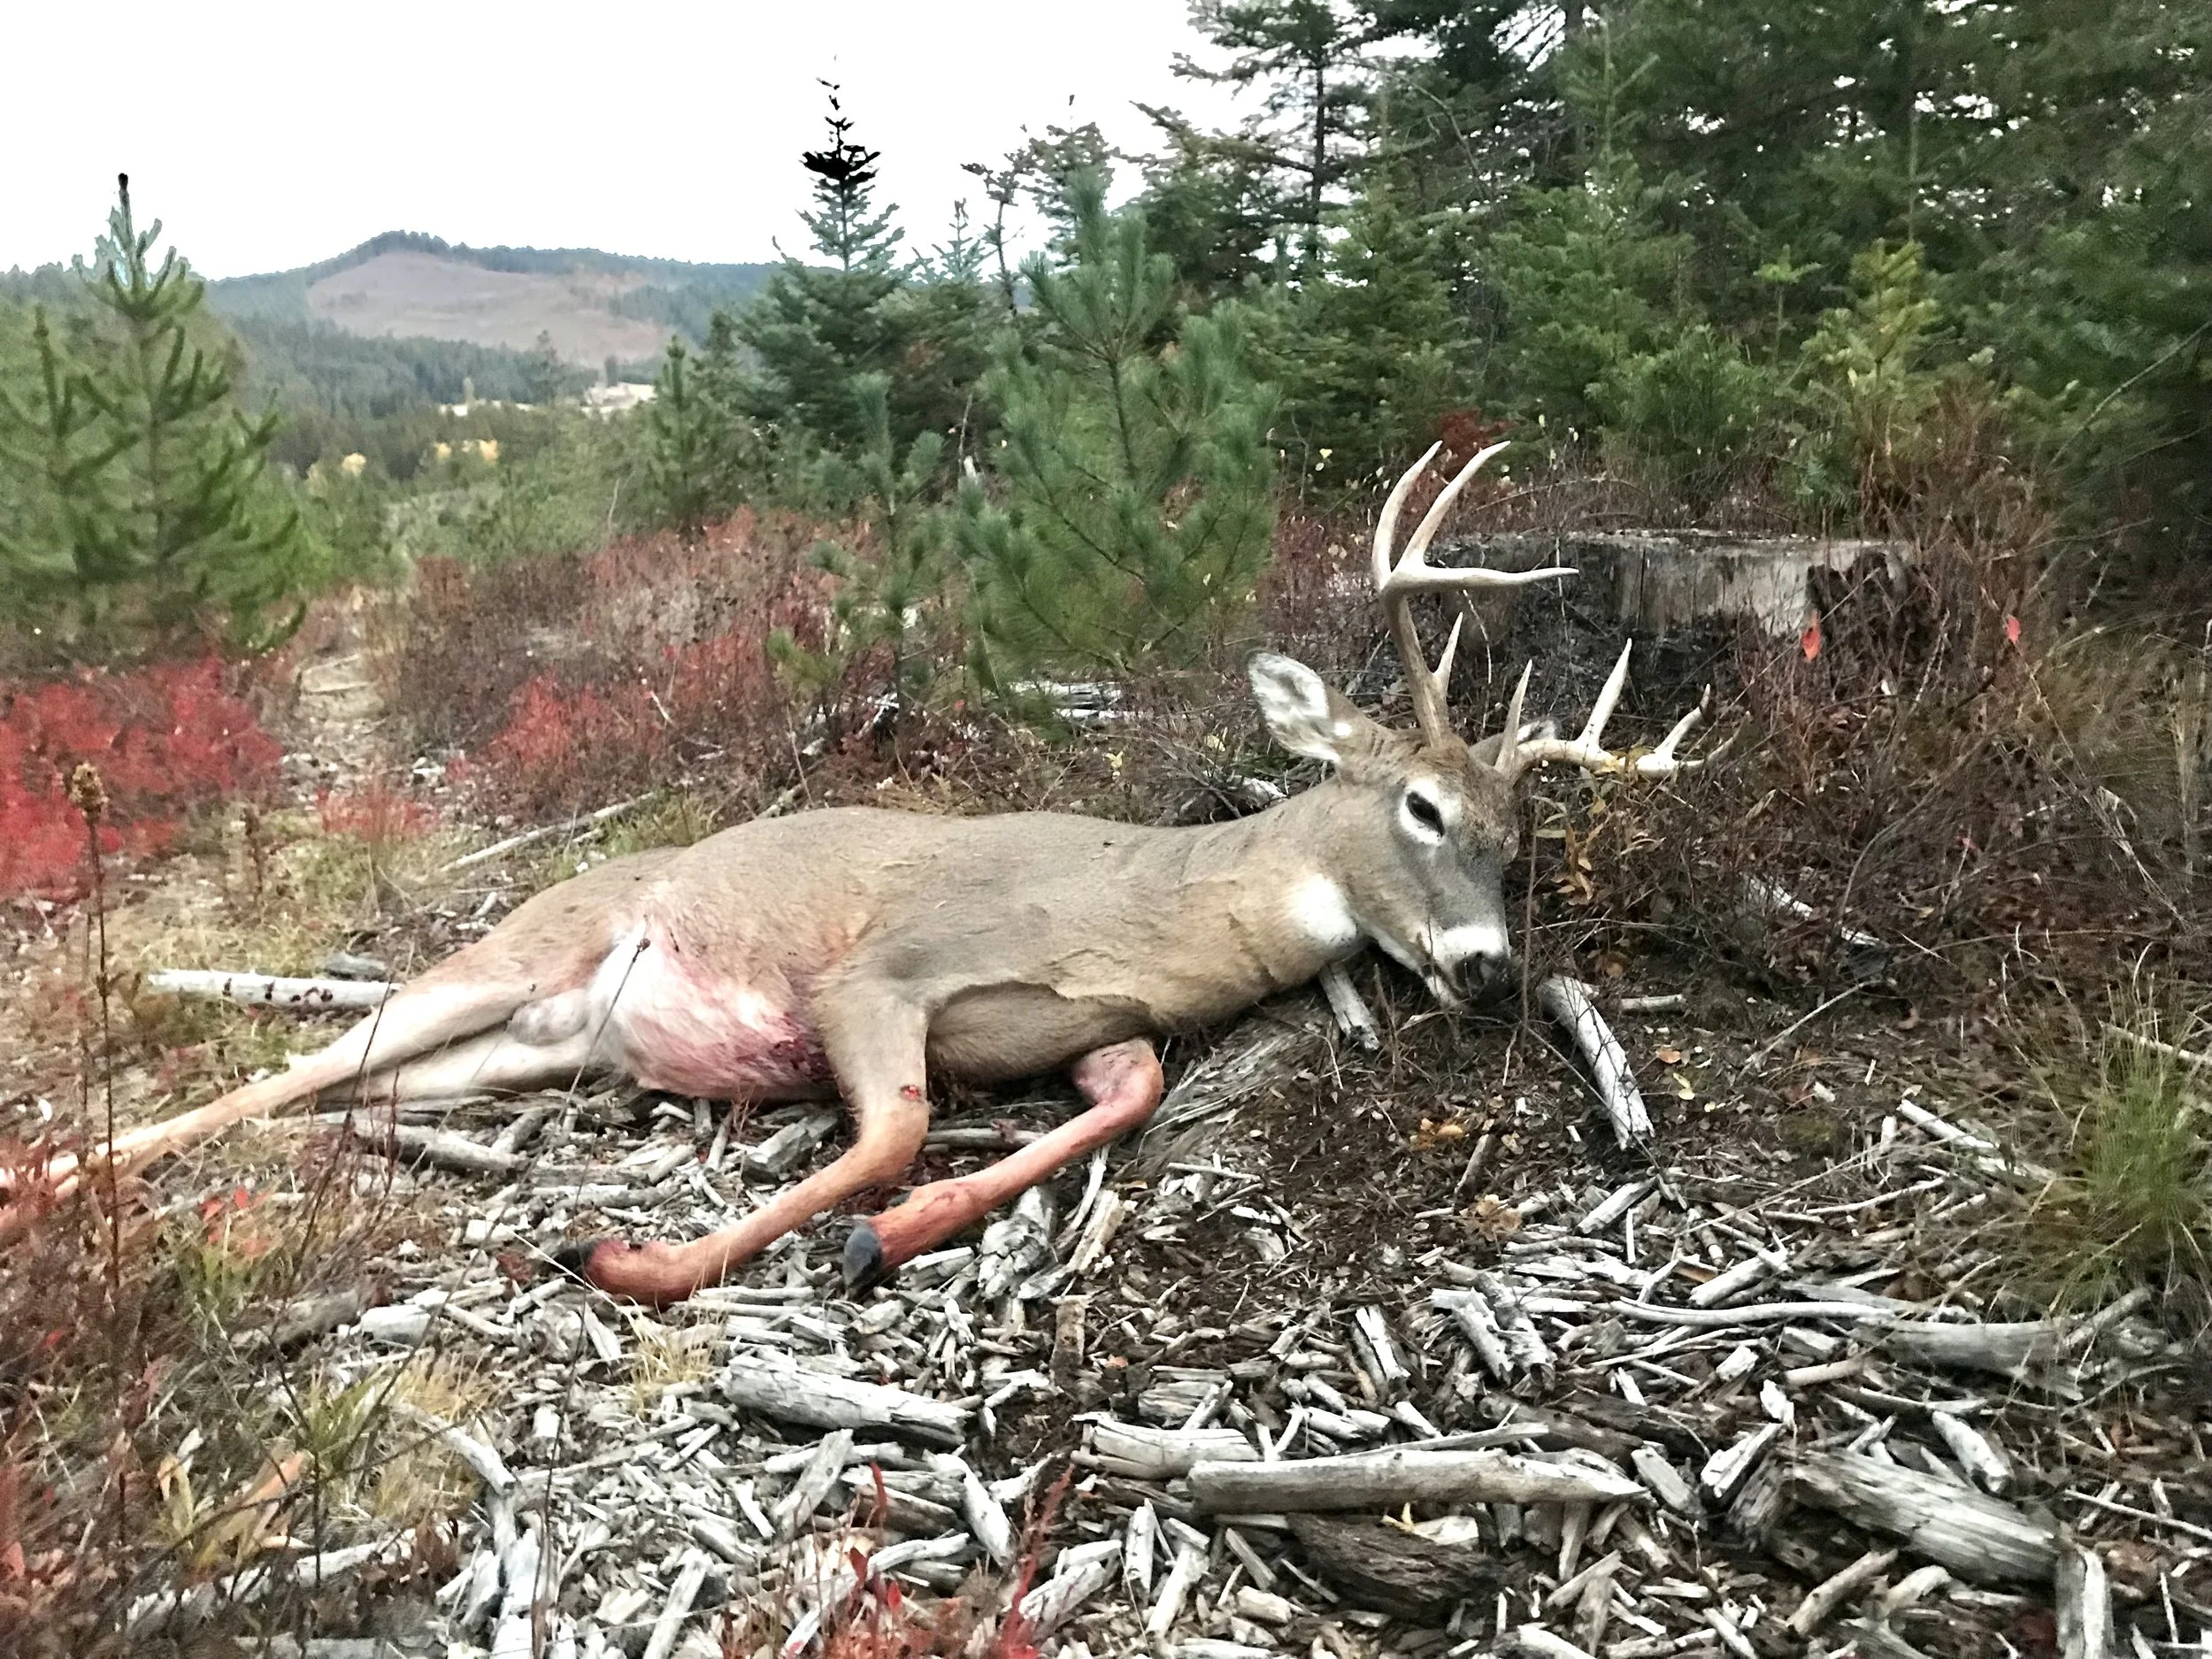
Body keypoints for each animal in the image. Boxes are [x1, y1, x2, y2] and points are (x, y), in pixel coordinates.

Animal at [1, 442, 1706, 1304]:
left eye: (1519, 844)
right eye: (1420, 805)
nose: (1489, 964)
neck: (1147, 914)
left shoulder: (1101, 1030)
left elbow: (1121, 1094)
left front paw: (877, 1238)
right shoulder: (875, 971)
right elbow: (889, 1127)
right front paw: (642, 1257)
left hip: (527, 1045)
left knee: (347, 1091)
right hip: (524, 946)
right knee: (287, 1064)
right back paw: (62, 1176)